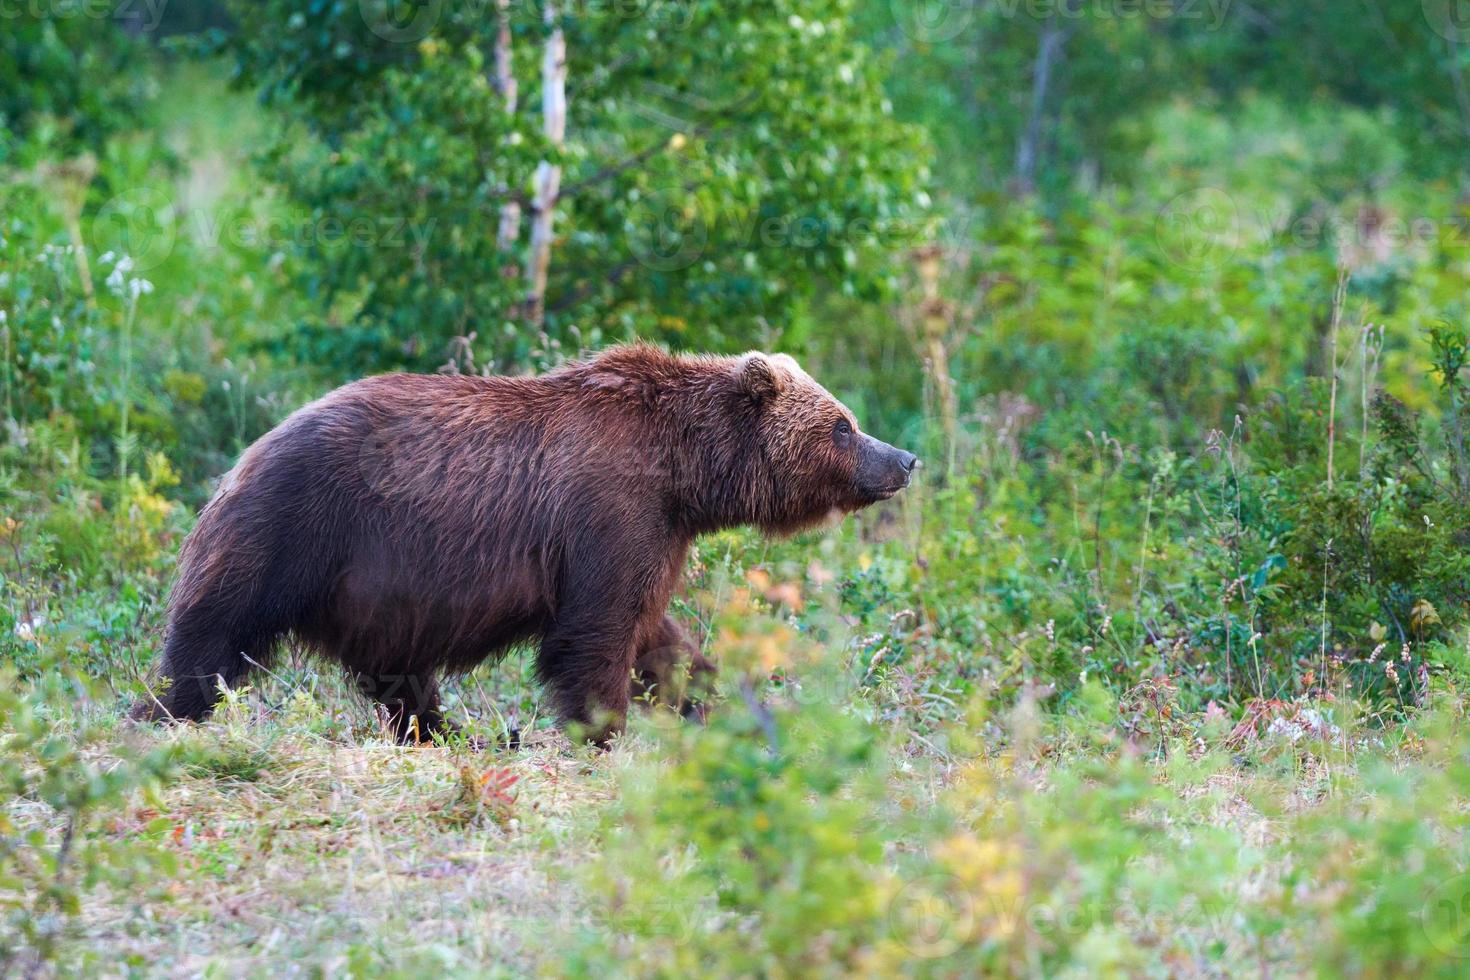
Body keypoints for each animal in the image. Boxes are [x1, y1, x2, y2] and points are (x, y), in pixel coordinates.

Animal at [135, 345, 917, 743]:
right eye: (843, 425)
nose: (904, 458)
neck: (682, 471)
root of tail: (243, 456)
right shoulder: (607, 513)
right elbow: (594, 633)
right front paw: (604, 730)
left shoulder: (654, 532)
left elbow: (658, 637)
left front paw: (727, 706)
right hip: (297, 528)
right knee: (218, 632)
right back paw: (164, 712)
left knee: (398, 671)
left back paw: (441, 731)